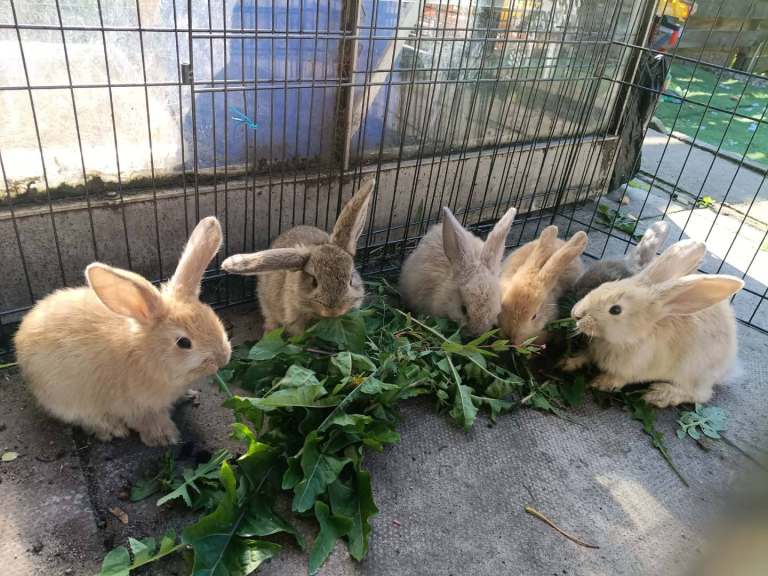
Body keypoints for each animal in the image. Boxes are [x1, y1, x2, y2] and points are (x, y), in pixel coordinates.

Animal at [14, 217, 232, 446]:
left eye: (212, 316)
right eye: (183, 342)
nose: (223, 358)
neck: (147, 355)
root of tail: (20, 337)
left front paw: (188, 396)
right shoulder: (137, 406)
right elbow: (149, 421)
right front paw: (165, 437)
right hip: (67, 399)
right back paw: (112, 430)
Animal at [565, 239, 743, 407]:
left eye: (615, 310)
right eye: (604, 285)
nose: (576, 313)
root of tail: (727, 366)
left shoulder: (634, 369)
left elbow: (620, 378)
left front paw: (600, 383)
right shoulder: (593, 350)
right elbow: (584, 355)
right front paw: (568, 362)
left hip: (693, 374)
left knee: (700, 395)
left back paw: (659, 394)